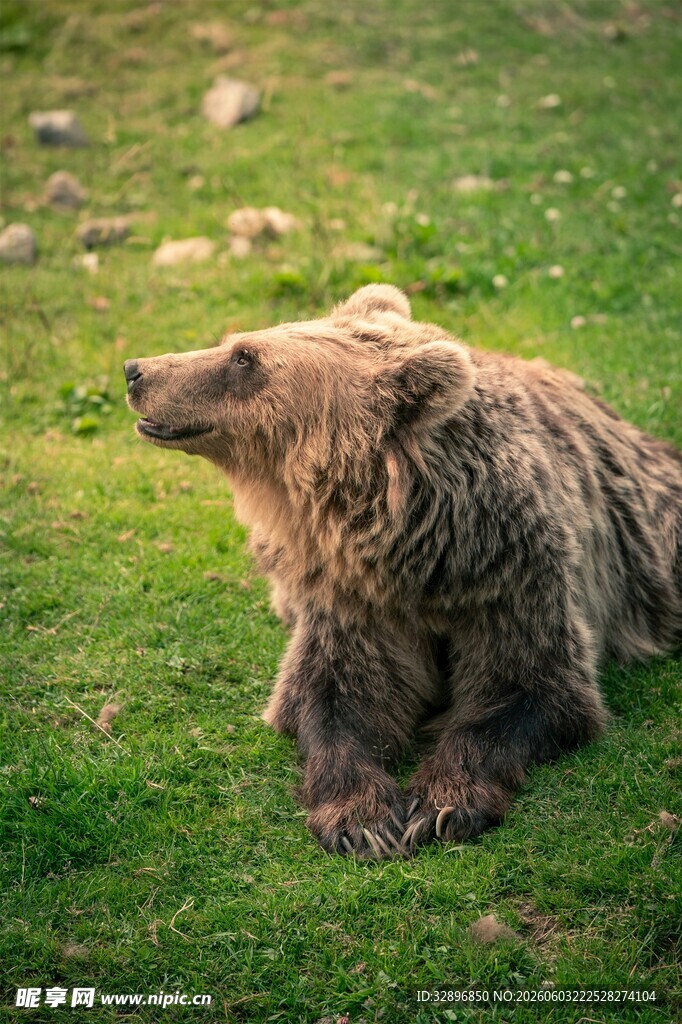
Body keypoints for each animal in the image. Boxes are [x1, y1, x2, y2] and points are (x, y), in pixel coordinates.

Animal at [124, 284, 682, 858]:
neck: (417, 552)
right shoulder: (352, 597)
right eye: (235, 344)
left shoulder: (513, 578)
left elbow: (528, 688)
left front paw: (441, 803)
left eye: (244, 357)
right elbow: (335, 696)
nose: (135, 370)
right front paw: (363, 818)